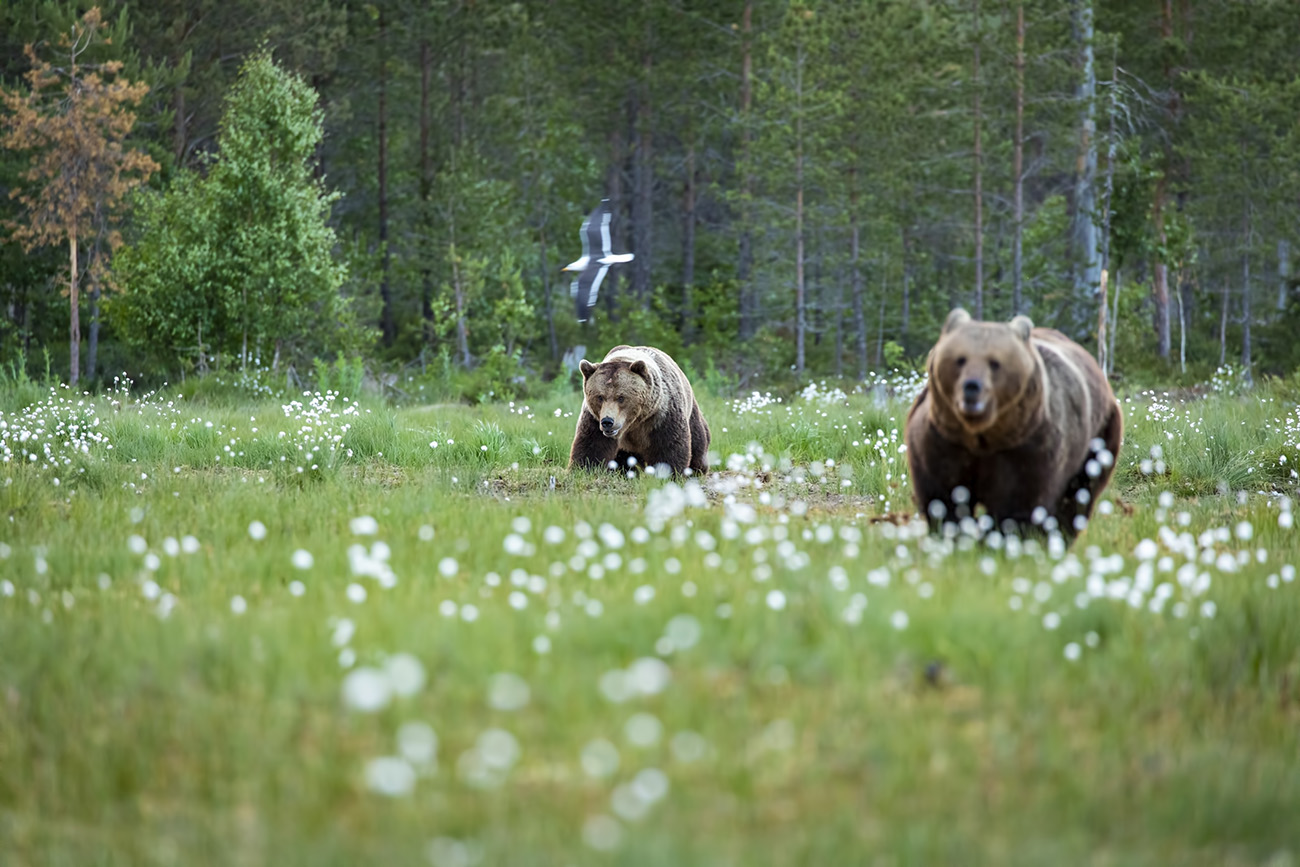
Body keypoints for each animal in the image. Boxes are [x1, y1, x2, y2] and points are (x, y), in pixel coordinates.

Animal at [569, 343, 712, 475]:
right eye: (599, 397)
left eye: (621, 397)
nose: (608, 422)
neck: (634, 422)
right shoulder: (594, 418)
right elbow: (592, 446)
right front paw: (585, 469)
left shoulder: (662, 415)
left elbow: (669, 446)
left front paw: (669, 474)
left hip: (691, 414)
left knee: (698, 442)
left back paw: (697, 470)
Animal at [904, 308, 1128, 538]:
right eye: (961, 359)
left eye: (995, 363)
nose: (972, 387)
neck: (982, 435)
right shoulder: (943, 439)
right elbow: (943, 496)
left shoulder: (1029, 448)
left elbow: (1017, 503)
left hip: (1099, 439)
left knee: (1078, 496)